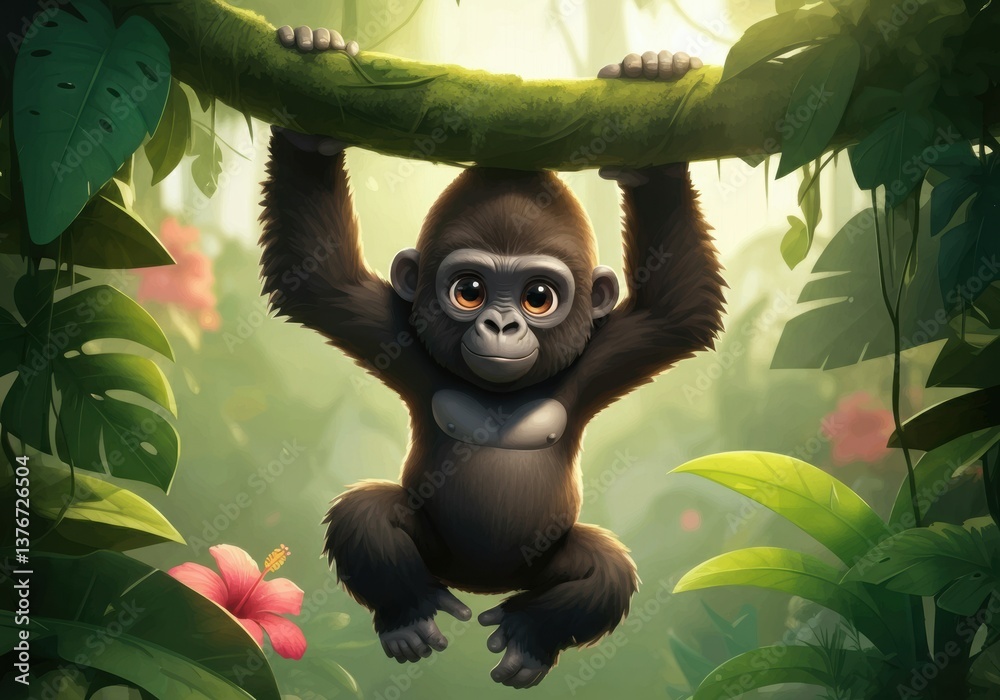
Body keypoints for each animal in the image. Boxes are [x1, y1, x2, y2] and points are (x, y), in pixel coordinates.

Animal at [260, 26, 724, 689]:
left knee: (603, 568)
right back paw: (407, 616)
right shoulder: (396, 335)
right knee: (365, 515)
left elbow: (677, 311)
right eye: (469, 290)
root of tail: (480, 586)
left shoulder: (603, 356)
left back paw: (530, 638)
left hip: (538, 569)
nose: (501, 324)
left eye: (538, 297)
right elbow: (318, 276)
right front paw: (313, 64)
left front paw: (654, 81)